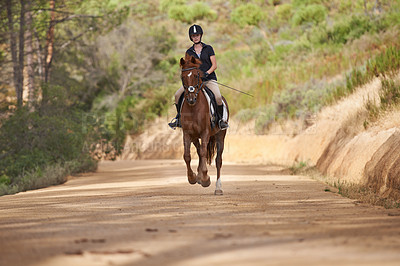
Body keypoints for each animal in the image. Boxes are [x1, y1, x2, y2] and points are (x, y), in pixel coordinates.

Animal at [180, 54, 230, 195]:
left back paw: (218, 188)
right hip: (195, 137)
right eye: (183, 77)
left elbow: (203, 153)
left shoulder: (205, 133)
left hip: (220, 136)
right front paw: (192, 178)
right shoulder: (187, 133)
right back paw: (198, 176)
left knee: (218, 160)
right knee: (198, 150)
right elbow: (187, 155)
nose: (191, 99)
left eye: (196, 75)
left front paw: (205, 178)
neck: (193, 108)